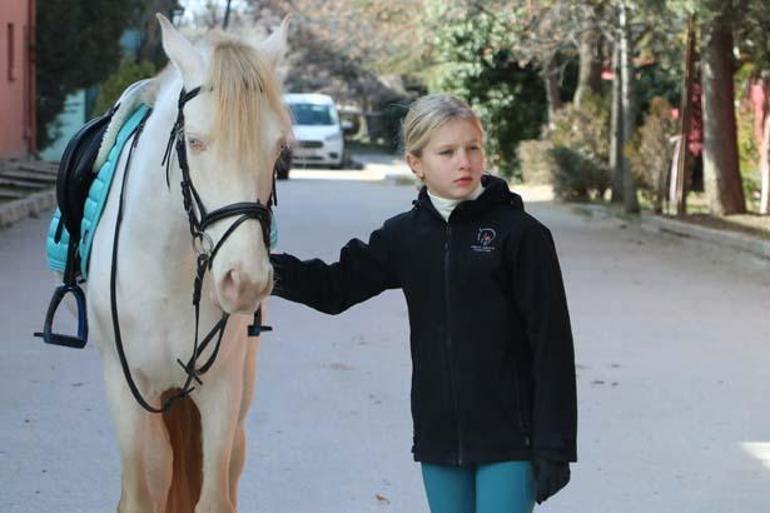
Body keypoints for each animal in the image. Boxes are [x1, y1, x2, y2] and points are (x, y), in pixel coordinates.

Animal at [84, 14, 292, 510]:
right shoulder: (126, 388)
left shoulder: (221, 390)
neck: (166, 270)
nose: (245, 281)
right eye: (194, 141)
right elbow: (140, 492)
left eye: (278, 148)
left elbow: (214, 495)